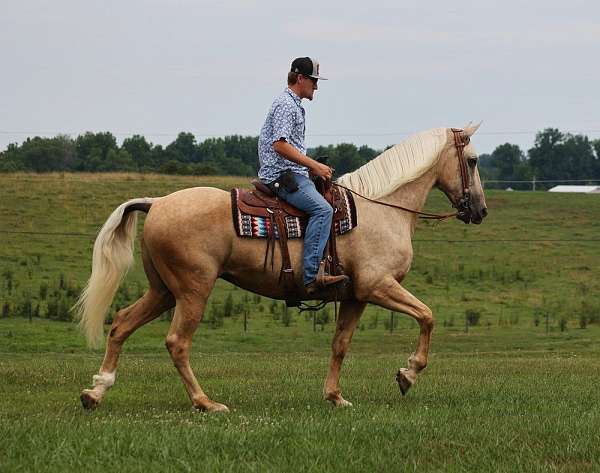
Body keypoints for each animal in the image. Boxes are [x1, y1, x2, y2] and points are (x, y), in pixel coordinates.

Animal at [75, 123, 488, 412]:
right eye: (472, 160)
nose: (480, 210)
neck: (381, 208)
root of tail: (156, 202)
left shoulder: (355, 296)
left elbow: (340, 344)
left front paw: (335, 396)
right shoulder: (378, 286)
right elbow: (427, 316)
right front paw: (407, 374)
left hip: (163, 291)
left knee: (121, 323)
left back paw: (96, 391)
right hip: (192, 291)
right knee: (177, 342)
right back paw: (206, 402)